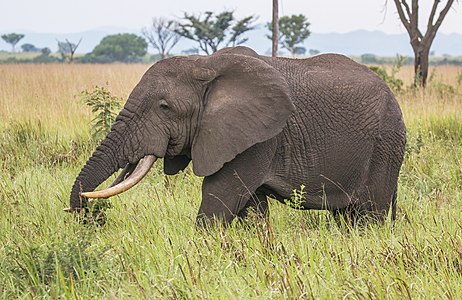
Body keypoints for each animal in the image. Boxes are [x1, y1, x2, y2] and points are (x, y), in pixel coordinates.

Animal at [67, 46, 406, 225]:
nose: (86, 216)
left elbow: (219, 197)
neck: (204, 65)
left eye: (164, 107)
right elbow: (251, 208)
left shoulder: (261, 138)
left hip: (385, 143)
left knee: (368, 215)